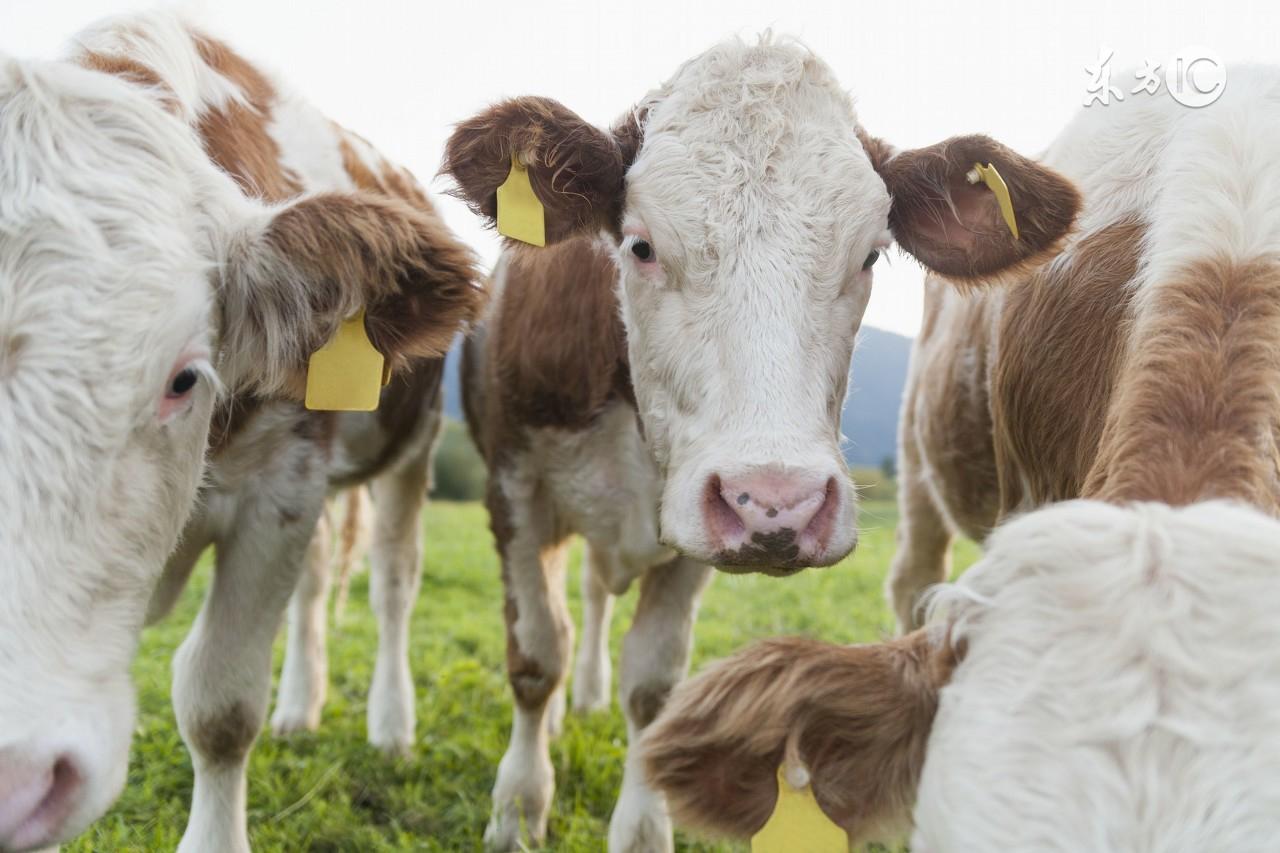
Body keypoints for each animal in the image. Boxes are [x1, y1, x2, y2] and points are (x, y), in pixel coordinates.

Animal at [0, 13, 481, 850]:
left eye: (185, 377)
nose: (12, 774)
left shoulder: (277, 495)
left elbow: (219, 706)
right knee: (317, 585)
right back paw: (301, 707)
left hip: (410, 454)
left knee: (393, 583)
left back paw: (391, 723)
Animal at [440, 33, 1080, 850]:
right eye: (641, 246)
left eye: (870, 255)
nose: (778, 502)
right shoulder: (513, 487)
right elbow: (534, 657)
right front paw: (518, 808)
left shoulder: (690, 531)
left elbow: (652, 685)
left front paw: (641, 825)